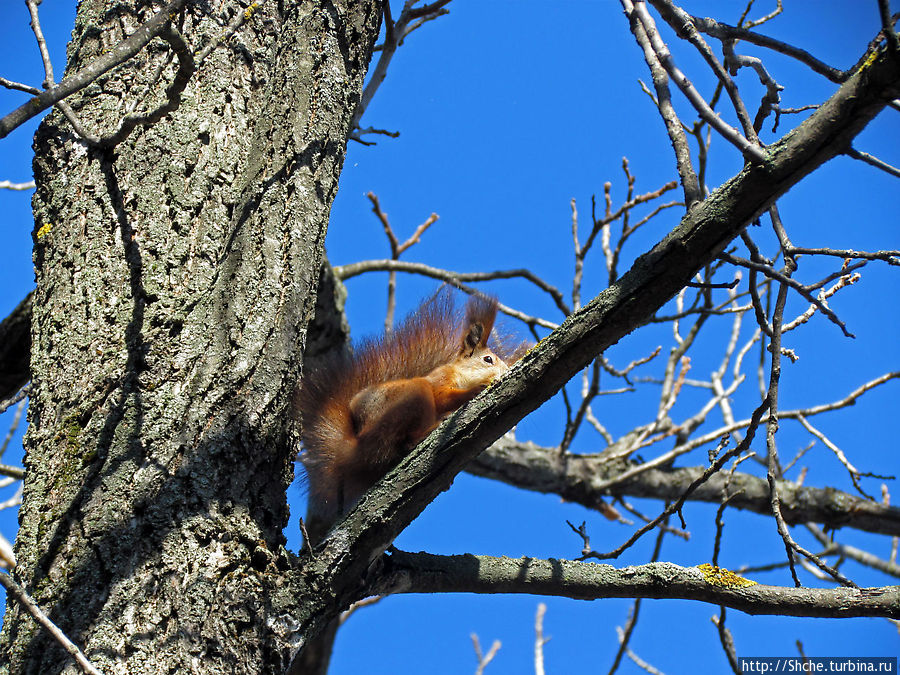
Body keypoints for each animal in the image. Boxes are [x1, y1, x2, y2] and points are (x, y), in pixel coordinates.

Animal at [296, 290, 524, 544]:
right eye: (488, 360)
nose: (505, 371)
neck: (460, 374)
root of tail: (357, 446)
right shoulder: (439, 381)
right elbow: (444, 397)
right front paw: (479, 387)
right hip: (414, 395)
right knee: (405, 440)